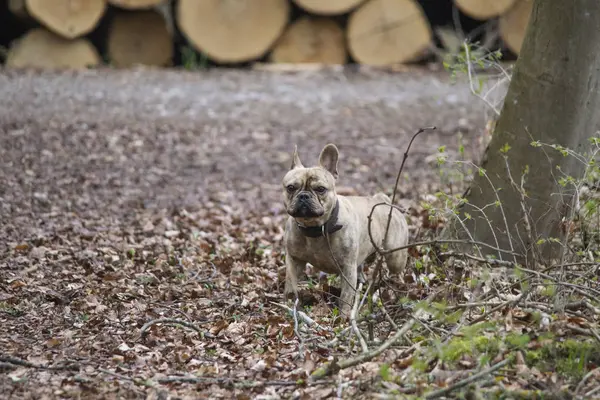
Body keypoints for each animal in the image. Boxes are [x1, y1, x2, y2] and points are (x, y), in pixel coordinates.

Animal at [282, 144, 408, 316]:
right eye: (290, 188)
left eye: (320, 189)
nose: (303, 196)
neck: (316, 228)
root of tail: (382, 199)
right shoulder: (294, 261)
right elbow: (290, 286)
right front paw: (290, 306)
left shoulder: (347, 268)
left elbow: (346, 297)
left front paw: (343, 317)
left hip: (395, 257)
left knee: (398, 270)